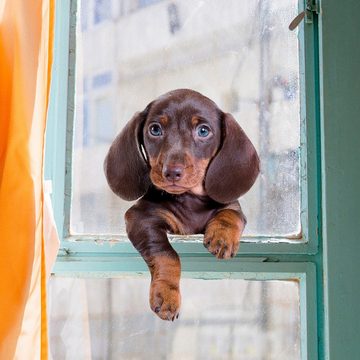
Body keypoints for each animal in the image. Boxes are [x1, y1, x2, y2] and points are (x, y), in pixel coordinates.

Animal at [104, 88, 258, 320]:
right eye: (155, 129)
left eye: (203, 131)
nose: (172, 172)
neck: (190, 199)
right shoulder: (140, 217)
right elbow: (166, 254)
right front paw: (166, 294)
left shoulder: (232, 206)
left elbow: (231, 215)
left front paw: (222, 238)